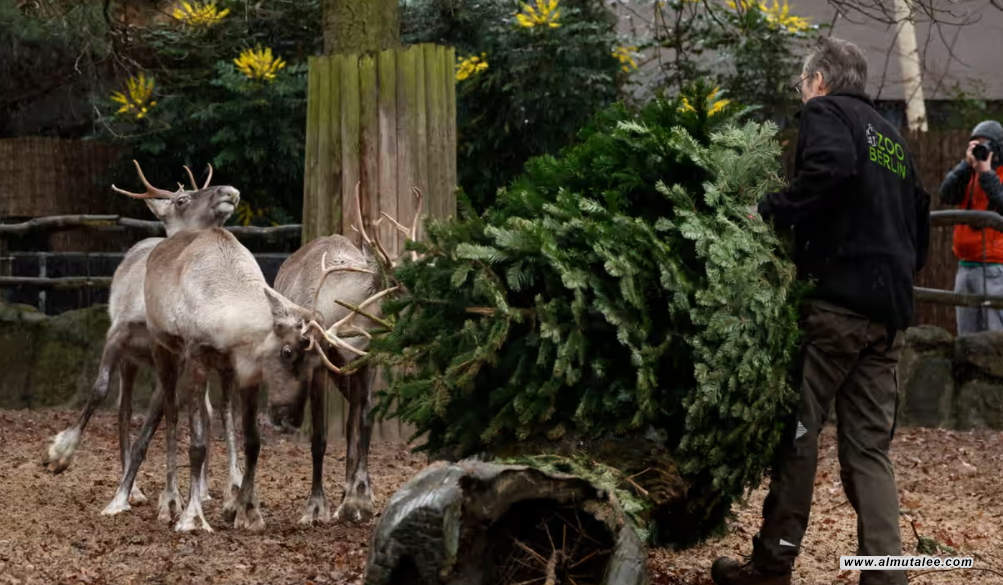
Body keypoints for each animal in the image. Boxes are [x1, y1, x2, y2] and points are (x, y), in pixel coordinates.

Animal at [42, 161, 245, 519]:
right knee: (123, 410)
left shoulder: (172, 358)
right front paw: (60, 454)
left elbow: (155, 425)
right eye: (181, 199)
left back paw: (209, 489)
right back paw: (137, 487)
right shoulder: (116, 335)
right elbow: (100, 391)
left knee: (210, 411)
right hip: (131, 362)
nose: (229, 190)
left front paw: (170, 496)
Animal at [100, 209, 330, 532]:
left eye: (318, 362)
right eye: (287, 351)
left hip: (219, 371)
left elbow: (252, 440)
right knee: (170, 415)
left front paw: (245, 510)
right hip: (165, 351)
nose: (290, 418)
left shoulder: (245, 373)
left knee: (215, 414)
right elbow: (196, 445)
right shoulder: (196, 358)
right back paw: (164, 500)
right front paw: (192, 517)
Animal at [271, 182, 422, 525]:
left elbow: (363, 424)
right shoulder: (317, 365)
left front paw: (359, 498)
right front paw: (315, 507)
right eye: (399, 282)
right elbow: (319, 436)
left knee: (353, 423)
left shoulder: (367, 362)